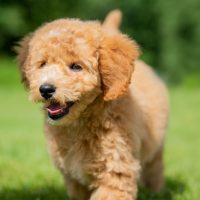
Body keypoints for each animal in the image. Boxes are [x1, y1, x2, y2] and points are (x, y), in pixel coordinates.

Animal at [16, 10, 169, 200]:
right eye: (43, 64)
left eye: (76, 66)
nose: (45, 89)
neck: (79, 123)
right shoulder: (73, 177)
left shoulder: (115, 170)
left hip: (155, 146)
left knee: (154, 168)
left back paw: (156, 191)